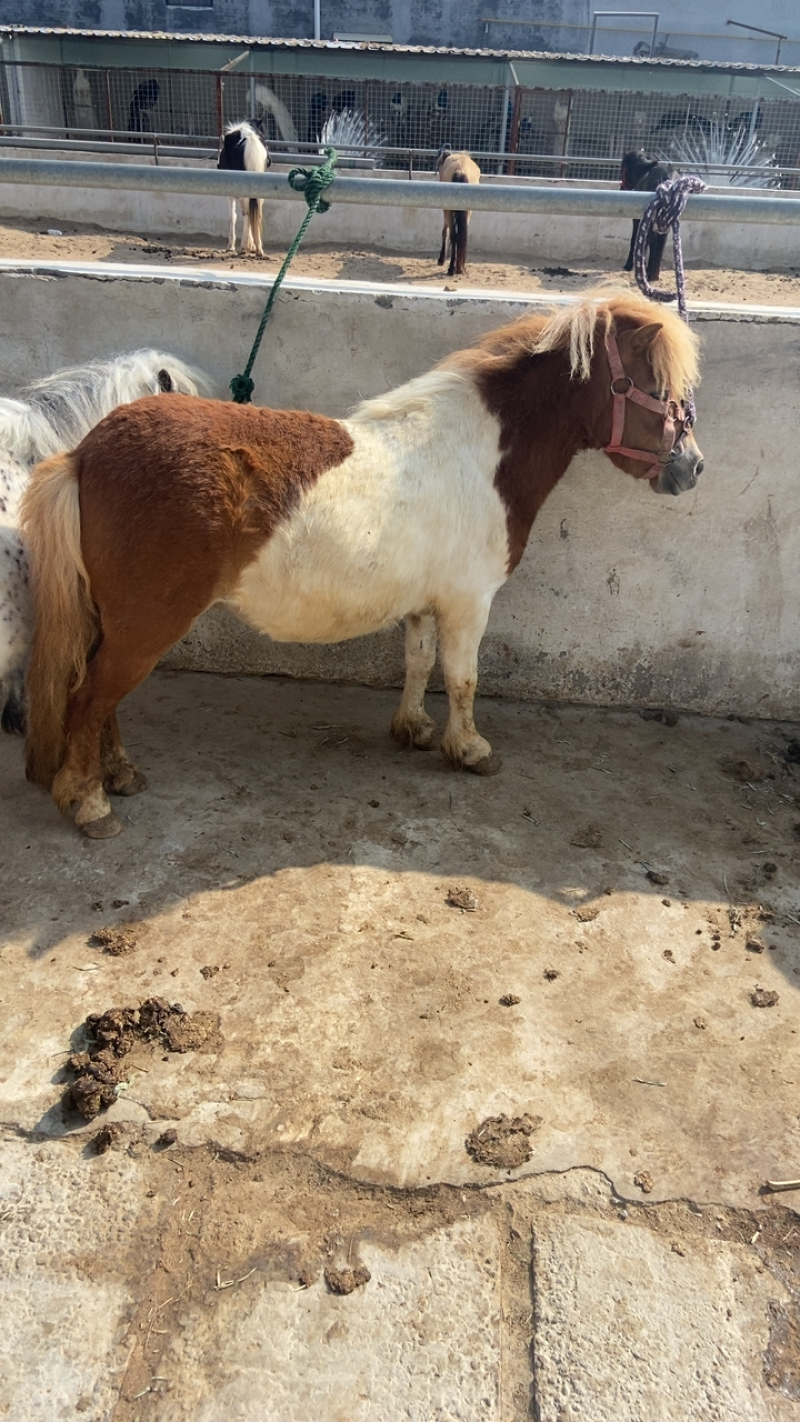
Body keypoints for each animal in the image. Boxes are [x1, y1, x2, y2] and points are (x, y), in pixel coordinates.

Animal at [217, 119, 271, 257]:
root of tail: (249, 138)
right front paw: (252, 245)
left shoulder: (230, 192)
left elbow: (233, 216)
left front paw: (232, 245)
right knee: (256, 213)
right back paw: (258, 248)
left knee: (247, 213)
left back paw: (244, 246)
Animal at [436, 146, 481, 277]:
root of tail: (460, 170)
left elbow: (444, 231)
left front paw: (441, 259)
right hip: (467, 211)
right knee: (461, 235)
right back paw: (459, 267)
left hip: (449, 210)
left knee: (454, 235)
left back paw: (452, 268)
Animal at [619, 150, 674, 281]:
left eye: (622, 169)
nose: (621, 188)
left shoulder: (637, 220)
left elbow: (635, 239)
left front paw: (628, 265)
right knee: (659, 243)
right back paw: (653, 275)